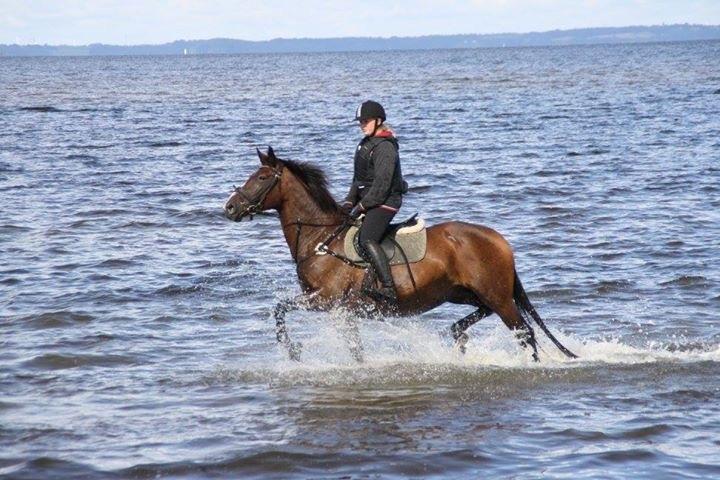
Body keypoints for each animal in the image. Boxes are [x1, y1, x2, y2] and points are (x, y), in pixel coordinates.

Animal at [222, 148, 576, 362]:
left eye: (262, 178)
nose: (230, 208)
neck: (321, 240)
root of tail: (500, 240)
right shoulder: (338, 310)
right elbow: (345, 342)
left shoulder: (327, 301)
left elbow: (280, 310)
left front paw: (294, 352)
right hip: (466, 292)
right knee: (487, 317)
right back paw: (458, 336)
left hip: (497, 296)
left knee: (525, 332)